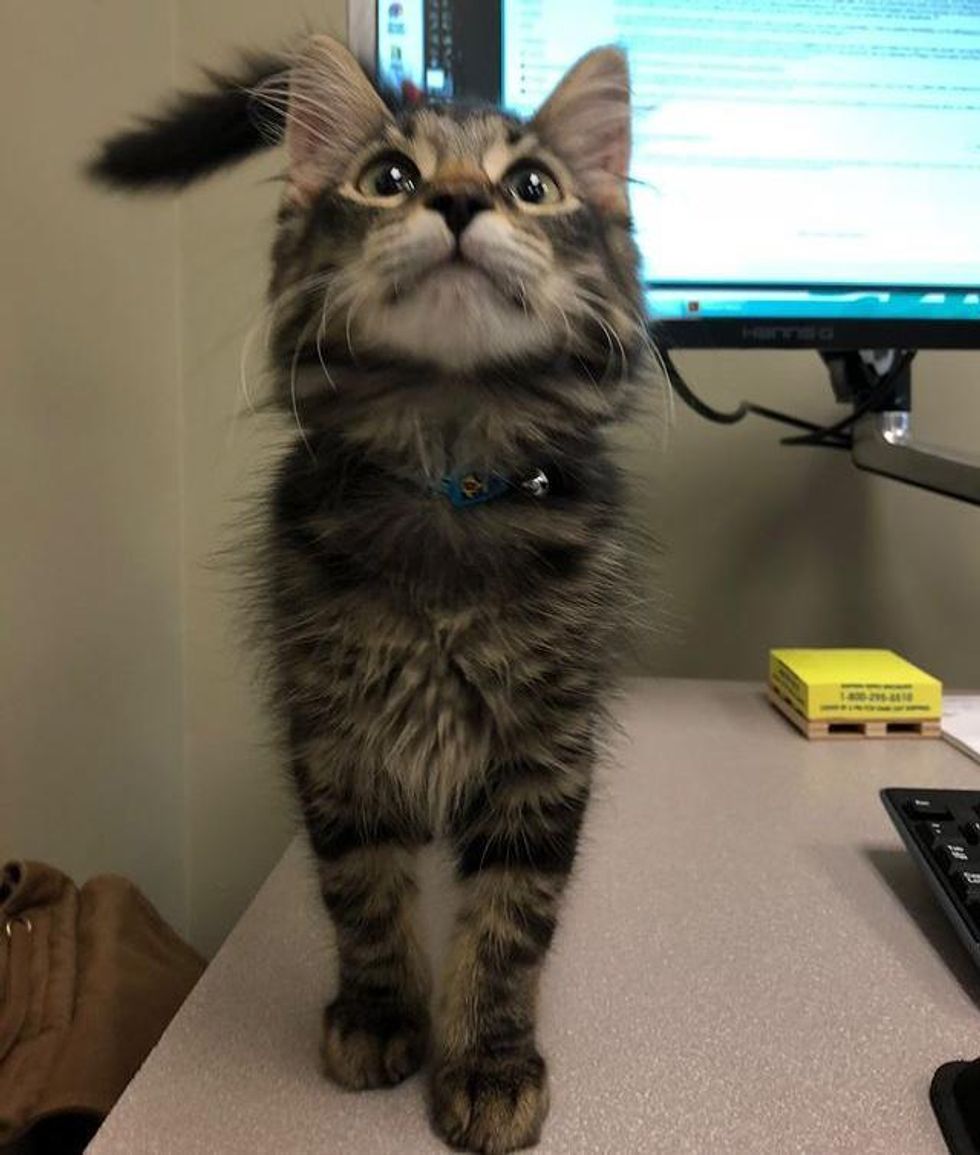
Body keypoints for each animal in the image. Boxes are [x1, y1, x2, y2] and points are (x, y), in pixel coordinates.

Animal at [90, 36, 642, 1155]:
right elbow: (364, 894)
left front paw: (490, 1062)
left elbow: (509, 923)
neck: (450, 476)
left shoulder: (544, 752)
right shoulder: (334, 734)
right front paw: (382, 1014)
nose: (460, 200)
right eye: (389, 177)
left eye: (532, 186)